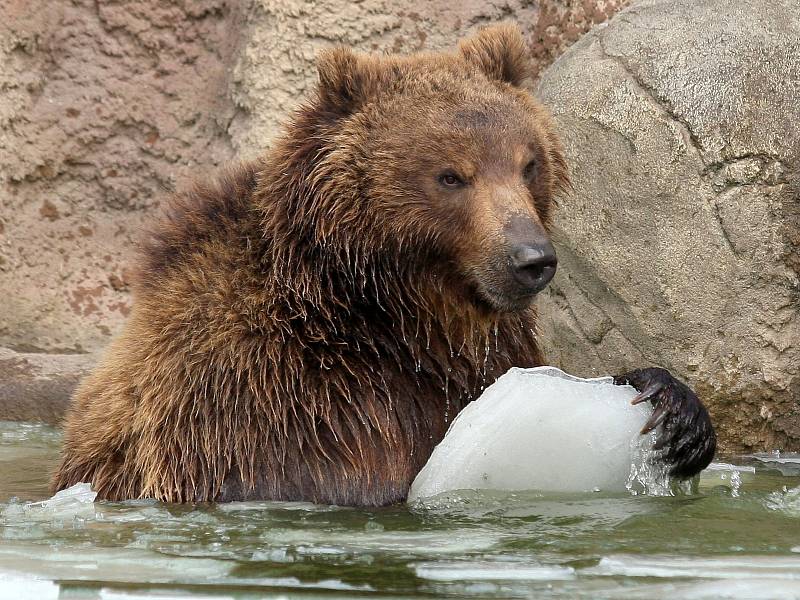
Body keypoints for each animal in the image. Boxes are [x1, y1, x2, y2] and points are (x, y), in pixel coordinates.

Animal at [53, 24, 716, 506]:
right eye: (451, 175)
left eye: (528, 163)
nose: (532, 259)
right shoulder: (272, 400)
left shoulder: (475, 361)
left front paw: (671, 408)